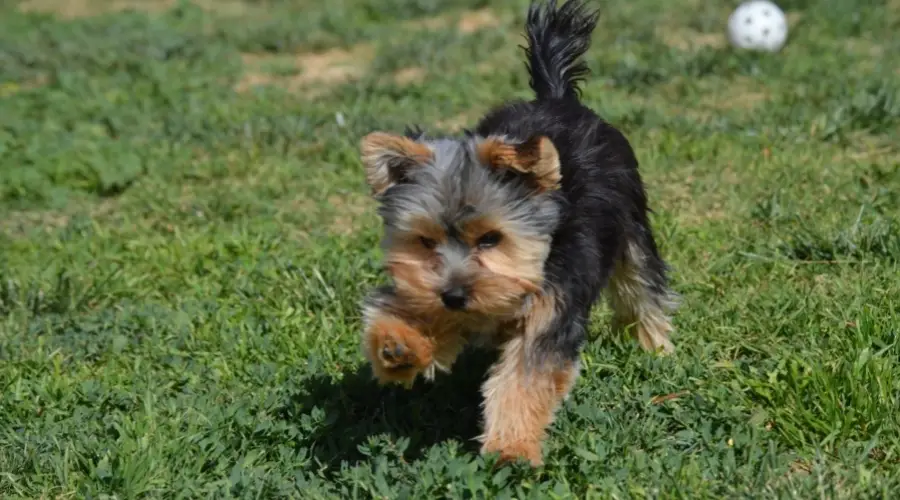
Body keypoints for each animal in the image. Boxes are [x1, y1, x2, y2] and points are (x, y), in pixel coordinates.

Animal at [356, 0, 680, 466]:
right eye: (425, 241)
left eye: (491, 239)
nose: (453, 294)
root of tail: (556, 98)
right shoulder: (435, 292)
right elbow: (415, 309)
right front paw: (398, 345)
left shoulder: (551, 303)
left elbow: (524, 377)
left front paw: (511, 448)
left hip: (631, 221)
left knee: (642, 285)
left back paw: (654, 348)